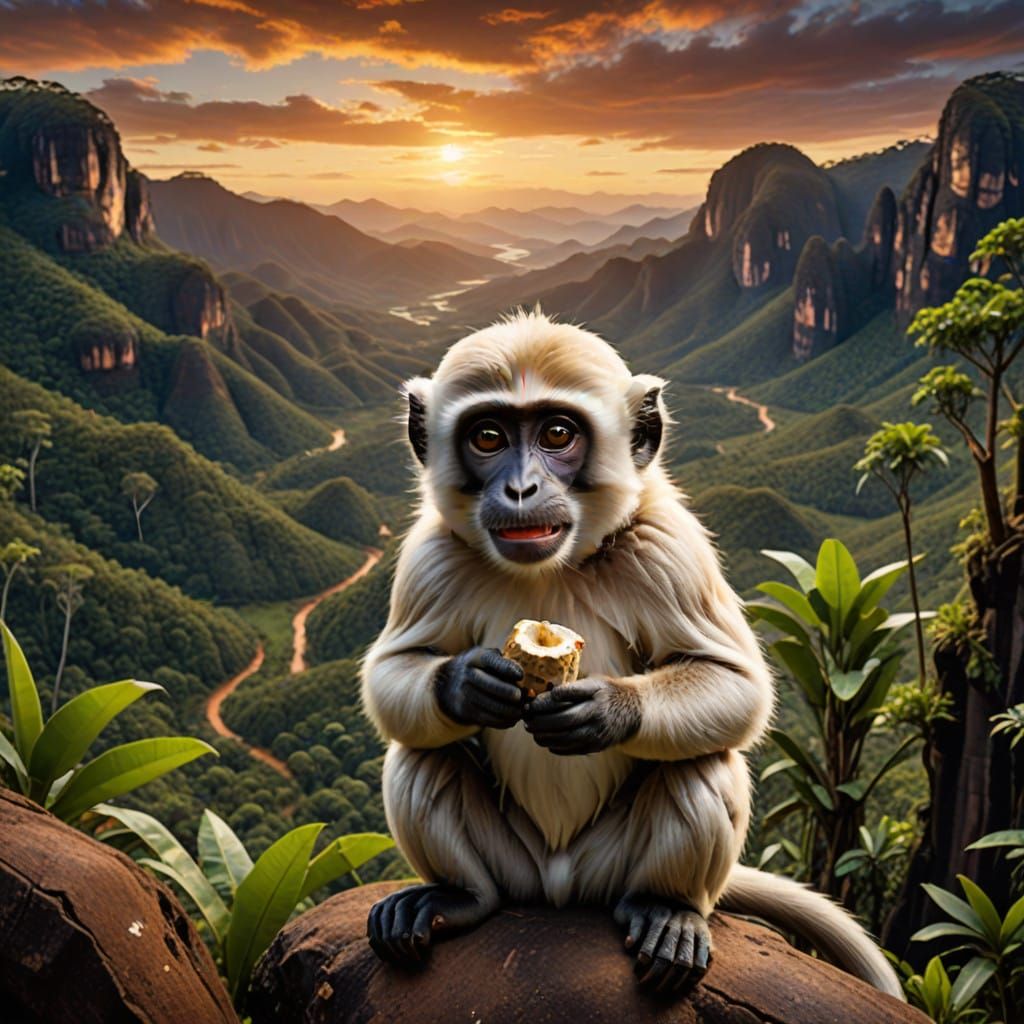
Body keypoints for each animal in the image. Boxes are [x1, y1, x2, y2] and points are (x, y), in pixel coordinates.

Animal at [360, 308, 903, 998]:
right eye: (487, 438)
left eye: (557, 433)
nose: (520, 488)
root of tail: (558, 889)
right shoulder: (431, 554)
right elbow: (393, 671)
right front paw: (468, 686)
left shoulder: (667, 545)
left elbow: (735, 682)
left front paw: (604, 711)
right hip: (517, 869)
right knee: (422, 753)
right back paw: (458, 897)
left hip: (607, 869)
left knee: (700, 762)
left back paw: (666, 908)